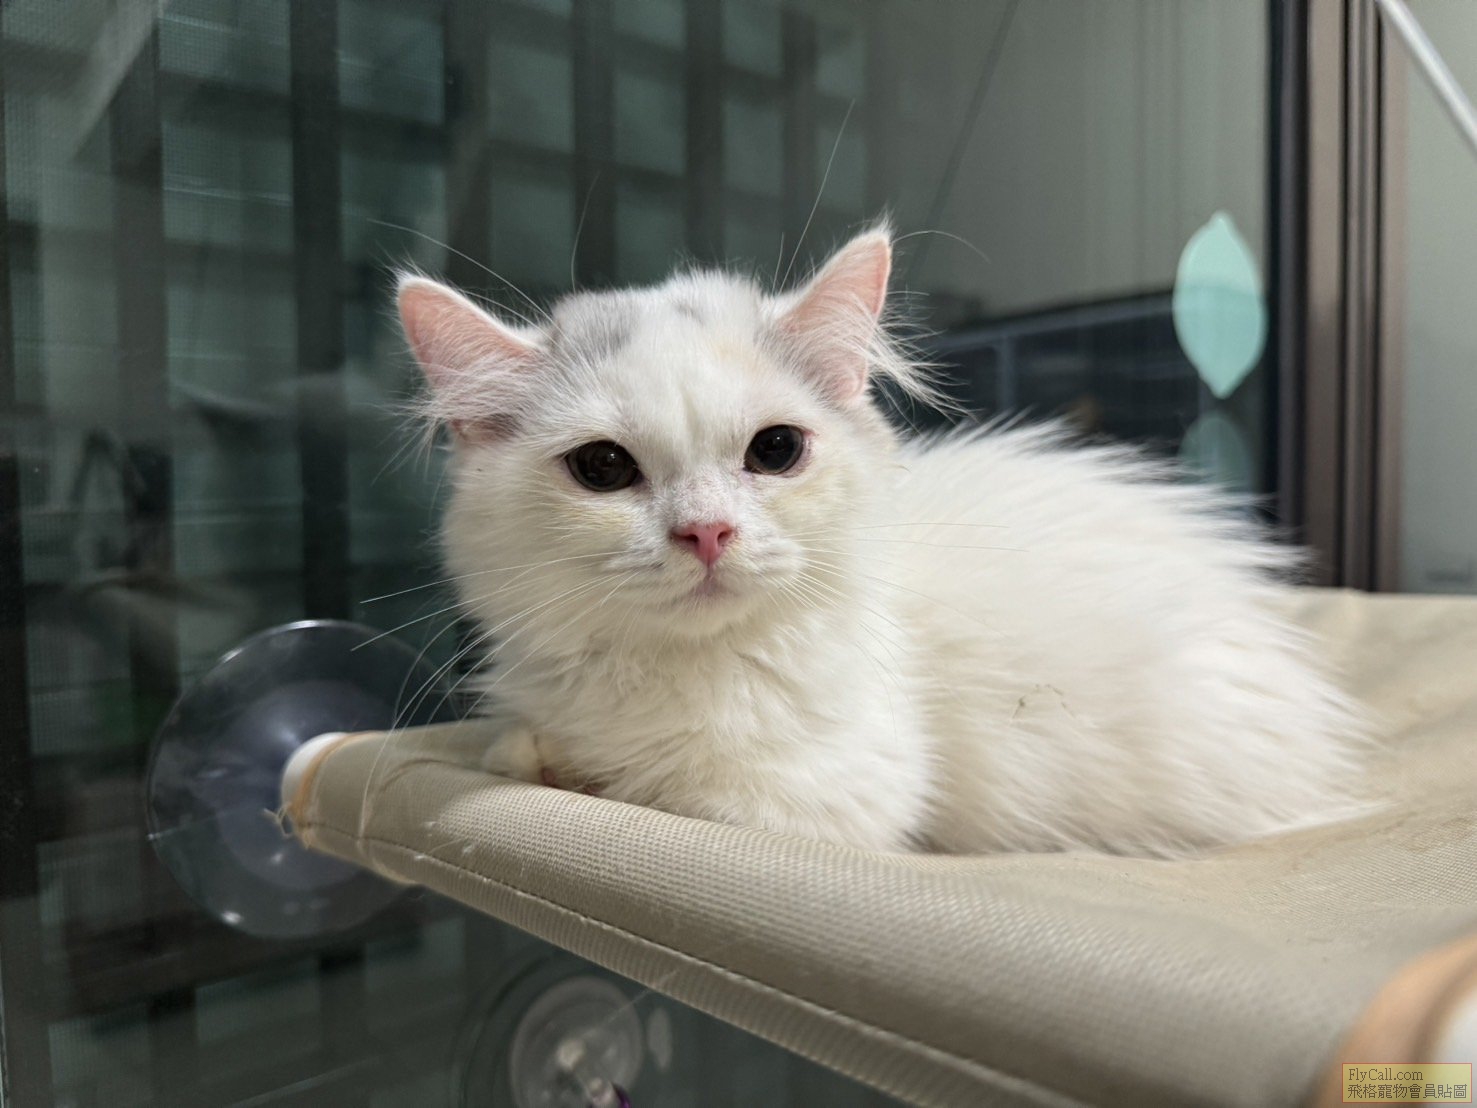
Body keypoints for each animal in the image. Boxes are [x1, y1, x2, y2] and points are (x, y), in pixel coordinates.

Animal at [395, 226, 1367, 856]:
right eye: (601, 468)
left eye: (774, 451)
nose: (707, 531)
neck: (672, 675)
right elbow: (513, 744)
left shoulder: (807, 804)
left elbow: (633, 783)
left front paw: (574, 768)